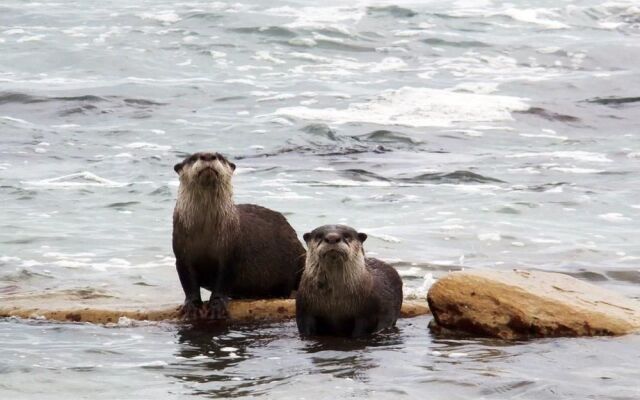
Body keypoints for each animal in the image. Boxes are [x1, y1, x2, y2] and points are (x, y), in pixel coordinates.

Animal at [172, 151, 305, 320]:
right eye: (193, 158)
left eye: (220, 157)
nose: (208, 155)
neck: (205, 231)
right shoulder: (181, 253)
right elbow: (188, 282)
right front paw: (192, 305)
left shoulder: (232, 251)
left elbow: (224, 280)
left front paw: (217, 305)